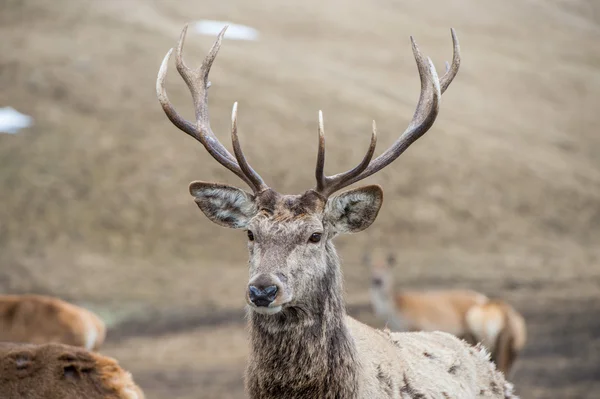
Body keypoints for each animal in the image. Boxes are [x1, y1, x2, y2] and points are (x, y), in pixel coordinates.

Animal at [368, 253, 528, 376]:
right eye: (372, 267)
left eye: (385, 267)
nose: (377, 280)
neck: (396, 310)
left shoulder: (417, 325)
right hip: (508, 349)